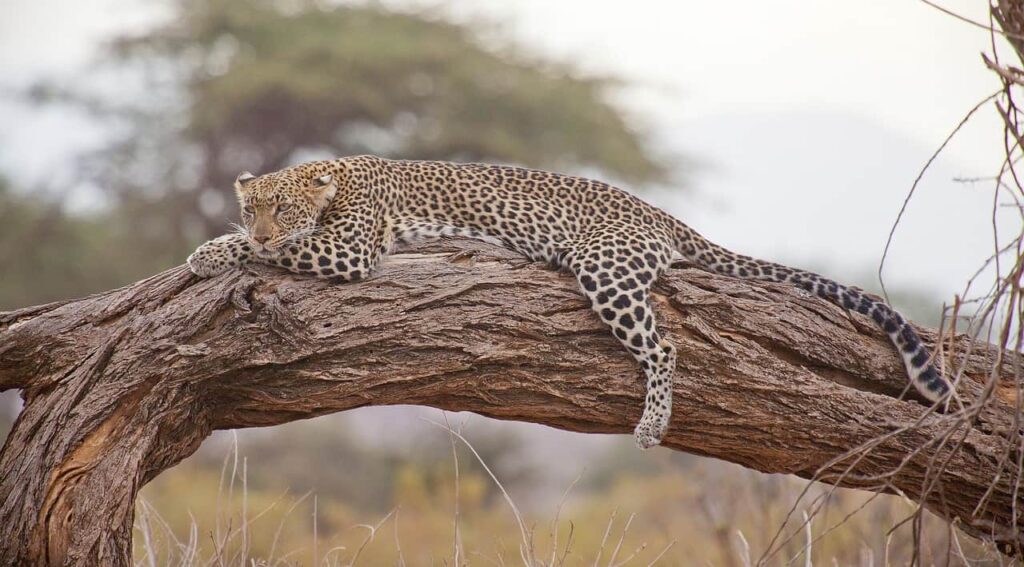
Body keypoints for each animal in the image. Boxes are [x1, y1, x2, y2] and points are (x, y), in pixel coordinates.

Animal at [186, 154, 950, 446]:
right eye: (255, 204)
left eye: (282, 209)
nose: (260, 222)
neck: (333, 178)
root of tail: (662, 215)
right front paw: (214, 244)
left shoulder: (349, 249)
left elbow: (272, 253)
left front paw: (212, 252)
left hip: (603, 266)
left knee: (664, 344)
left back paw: (651, 424)